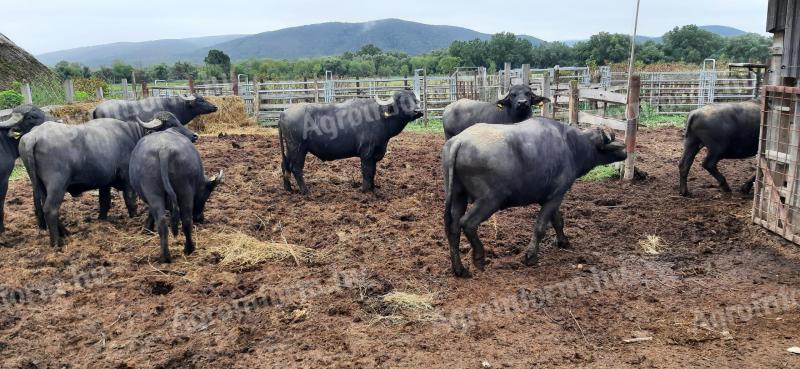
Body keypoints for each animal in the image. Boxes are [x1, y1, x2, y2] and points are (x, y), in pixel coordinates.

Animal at [18, 110, 197, 246]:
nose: (194, 136)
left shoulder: (104, 182)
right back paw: (57, 242)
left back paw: (65, 232)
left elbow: (104, 202)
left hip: (41, 186)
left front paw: (102, 220)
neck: (132, 134)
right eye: (171, 124)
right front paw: (133, 218)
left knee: (44, 206)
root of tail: (32, 137)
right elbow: (130, 201)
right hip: (57, 185)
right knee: (50, 209)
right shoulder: (127, 180)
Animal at [130, 125, 222, 264]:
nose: (200, 218)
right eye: (207, 194)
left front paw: (147, 228)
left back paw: (168, 255)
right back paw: (185, 250)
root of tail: (164, 150)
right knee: (184, 220)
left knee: (164, 221)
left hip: (155, 192)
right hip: (184, 191)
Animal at [278, 88, 422, 196]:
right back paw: (305, 191)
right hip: (297, 148)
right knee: (296, 168)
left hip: (290, 149)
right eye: (401, 101)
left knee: (285, 165)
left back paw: (288, 188)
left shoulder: (375, 153)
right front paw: (365, 190)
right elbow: (367, 171)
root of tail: (283, 113)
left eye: (414, 100)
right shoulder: (366, 153)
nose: (418, 111)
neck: (381, 117)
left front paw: (373, 188)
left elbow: (373, 171)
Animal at [440, 118, 628, 276]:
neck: (572, 146)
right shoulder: (556, 196)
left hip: (458, 196)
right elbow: (540, 227)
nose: (625, 148)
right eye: (611, 138)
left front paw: (563, 241)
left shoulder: (552, 198)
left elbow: (558, 221)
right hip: (490, 199)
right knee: (468, 223)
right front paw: (531, 257)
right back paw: (479, 258)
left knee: (453, 228)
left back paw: (459, 269)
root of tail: (459, 141)